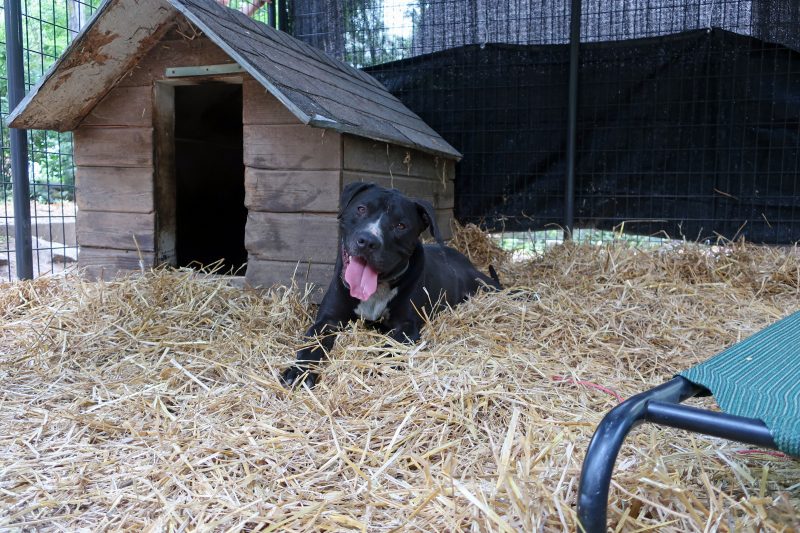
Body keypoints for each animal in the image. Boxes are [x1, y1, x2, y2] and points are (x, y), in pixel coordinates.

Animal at [278, 183, 496, 386]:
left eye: (401, 225)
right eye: (361, 209)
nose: (367, 241)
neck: (377, 289)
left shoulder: (406, 326)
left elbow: (391, 346)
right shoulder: (328, 320)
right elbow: (312, 345)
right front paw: (299, 372)